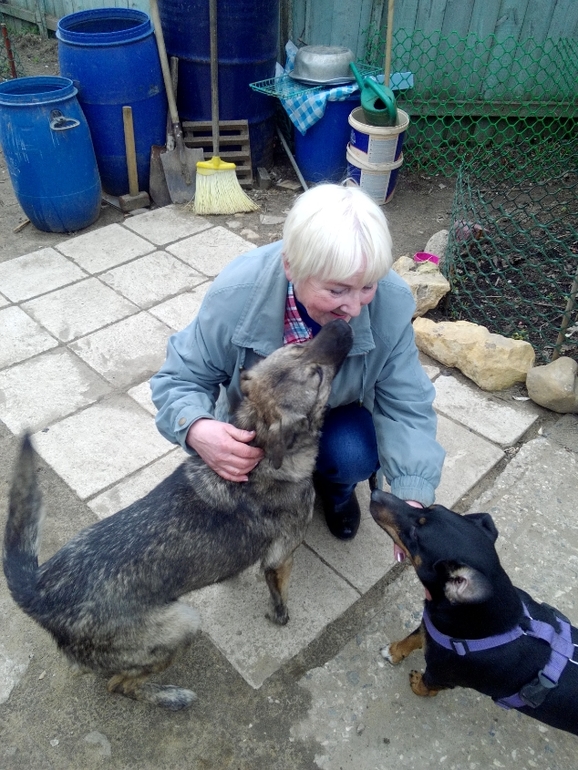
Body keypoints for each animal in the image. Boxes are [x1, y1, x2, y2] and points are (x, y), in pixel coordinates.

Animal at [4, 319, 353, 710]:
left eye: (299, 346)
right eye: (316, 374)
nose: (341, 323)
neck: (261, 447)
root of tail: (38, 590)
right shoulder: (281, 559)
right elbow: (279, 593)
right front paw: (280, 616)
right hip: (183, 623)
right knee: (119, 684)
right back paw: (170, 697)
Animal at [370, 490, 578, 736]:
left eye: (414, 534)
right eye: (430, 508)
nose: (375, 493)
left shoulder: (441, 675)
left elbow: (427, 686)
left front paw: (416, 683)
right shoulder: (431, 627)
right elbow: (413, 637)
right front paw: (394, 652)